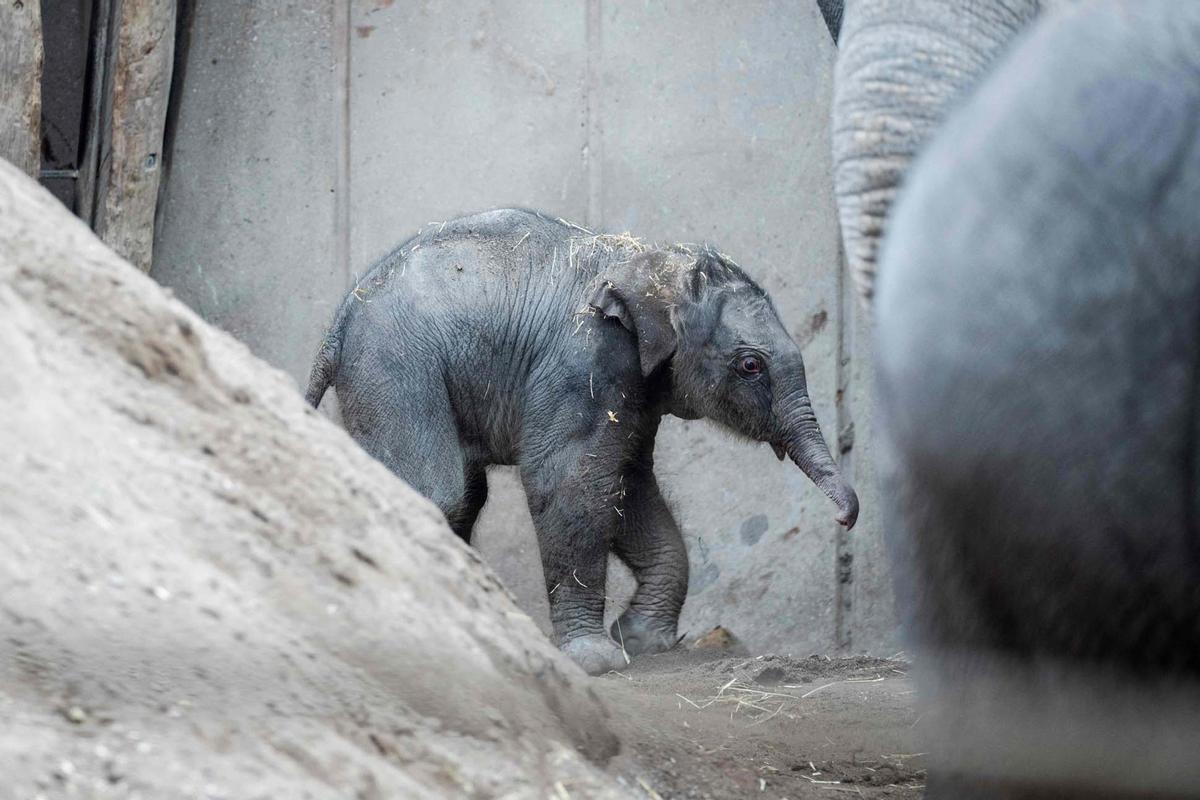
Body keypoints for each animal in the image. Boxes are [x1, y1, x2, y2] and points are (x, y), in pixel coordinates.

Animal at [304, 209, 859, 671]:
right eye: (750, 365)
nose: (845, 517)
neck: (650, 262)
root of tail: (337, 323)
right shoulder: (585, 362)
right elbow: (572, 481)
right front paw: (598, 661)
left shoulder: (634, 389)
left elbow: (628, 485)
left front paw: (640, 640)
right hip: (392, 368)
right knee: (439, 490)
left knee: (461, 493)